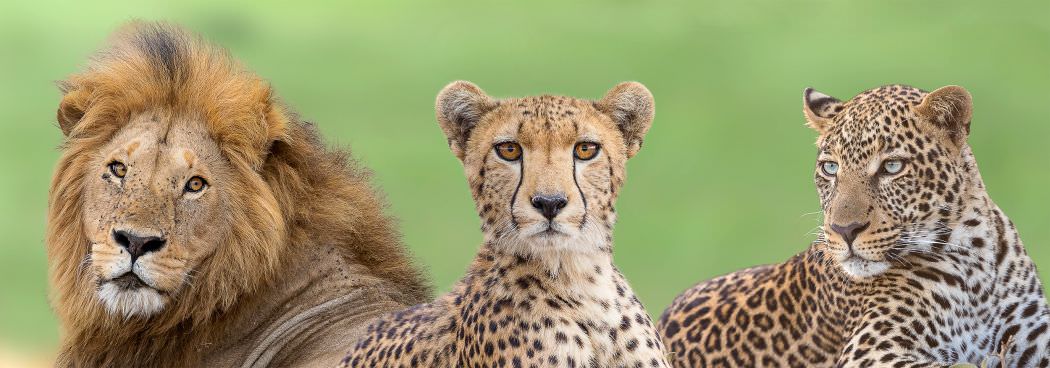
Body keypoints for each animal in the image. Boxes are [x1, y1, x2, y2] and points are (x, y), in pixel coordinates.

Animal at [659, 84, 1050, 365]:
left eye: (892, 166)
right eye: (831, 168)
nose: (844, 231)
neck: (974, 261)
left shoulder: (1034, 339)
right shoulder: (874, 351)